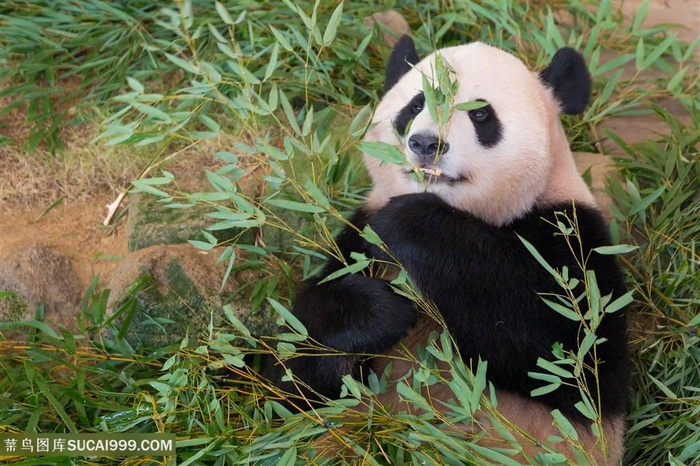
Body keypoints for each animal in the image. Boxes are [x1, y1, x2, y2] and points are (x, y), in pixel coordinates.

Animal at [272, 35, 628, 462]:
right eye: (414, 106)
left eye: (481, 114)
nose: (427, 143)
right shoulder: (356, 238)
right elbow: (292, 370)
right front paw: (384, 309)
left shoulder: (574, 240)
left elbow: (567, 356)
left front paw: (411, 222)